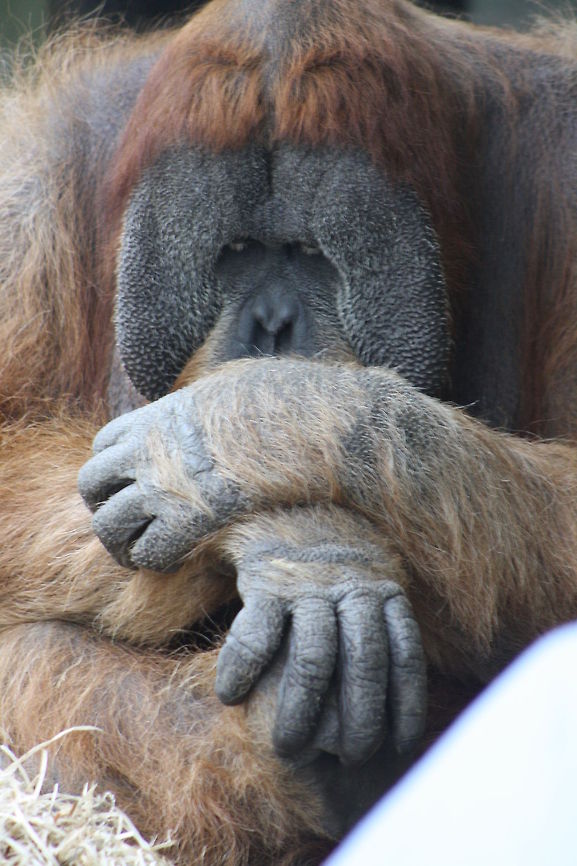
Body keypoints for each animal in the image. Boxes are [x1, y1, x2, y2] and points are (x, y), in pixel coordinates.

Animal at [1, 1, 577, 864]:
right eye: (238, 253)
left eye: (306, 255)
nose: (272, 325)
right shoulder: (27, 191)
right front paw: (301, 551)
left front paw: (252, 433)